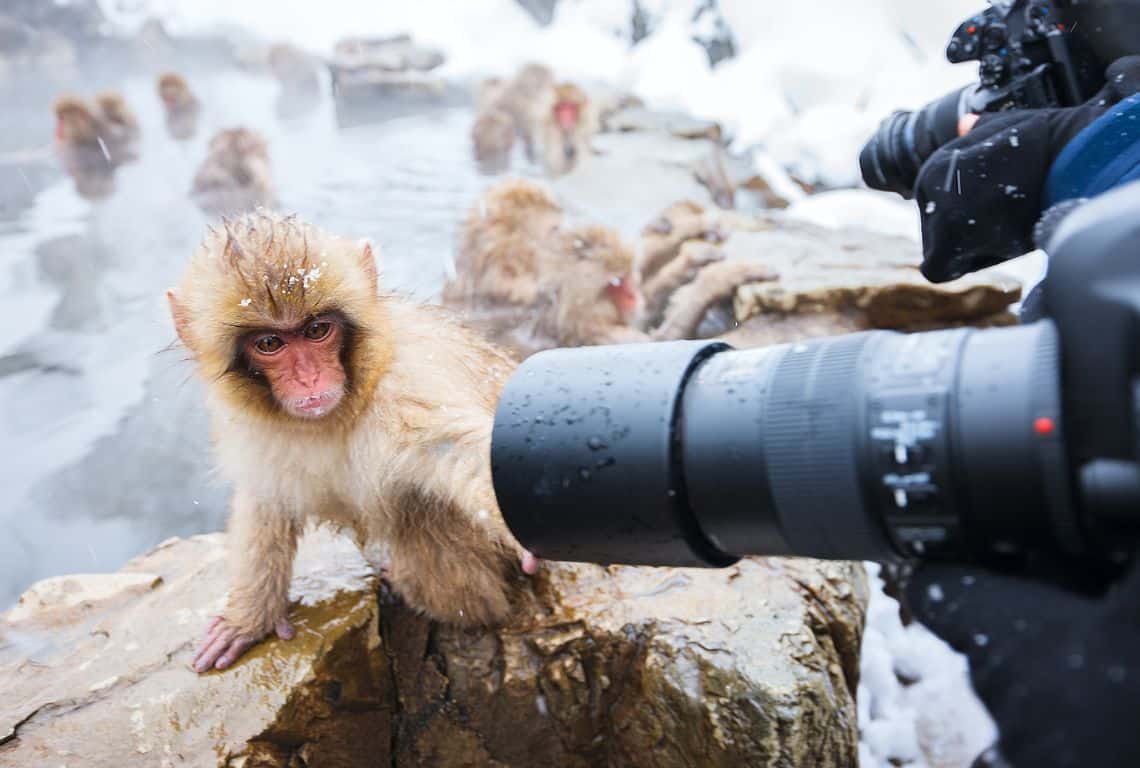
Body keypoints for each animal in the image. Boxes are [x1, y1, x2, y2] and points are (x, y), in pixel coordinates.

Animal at [168, 209, 538, 670]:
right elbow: (266, 498)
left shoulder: (409, 387)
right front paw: (250, 617)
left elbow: (457, 451)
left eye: (317, 330)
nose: (309, 378)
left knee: (421, 513)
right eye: (270, 342)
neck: (337, 415)